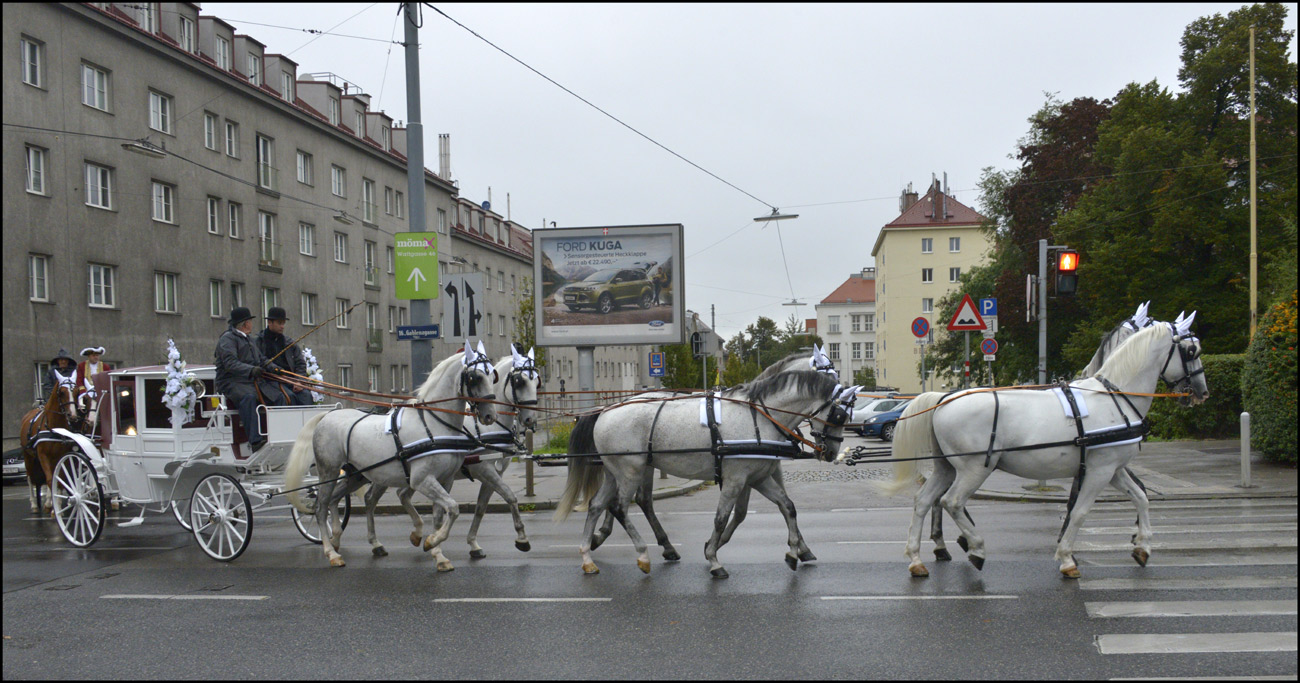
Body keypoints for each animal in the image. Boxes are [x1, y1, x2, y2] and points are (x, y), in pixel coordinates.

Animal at [19, 371, 84, 514]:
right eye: (62, 392)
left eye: (77, 392)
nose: (73, 415)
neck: (54, 427)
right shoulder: (43, 456)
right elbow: (49, 479)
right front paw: (55, 507)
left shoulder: (60, 456)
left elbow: (58, 479)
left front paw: (56, 505)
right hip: (28, 457)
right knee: (30, 478)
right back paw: (34, 504)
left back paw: (48, 502)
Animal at [285, 341, 499, 569]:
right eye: (475, 377)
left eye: (492, 375)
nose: (489, 416)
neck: (434, 423)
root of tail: (328, 414)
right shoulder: (422, 480)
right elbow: (454, 508)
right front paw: (430, 541)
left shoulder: (445, 480)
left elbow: (441, 516)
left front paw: (437, 553)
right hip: (329, 471)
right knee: (320, 506)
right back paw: (331, 552)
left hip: (355, 475)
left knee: (334, 500)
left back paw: (338, 539)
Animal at [357, 346, 541, 564]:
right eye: (520, 381)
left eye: (537, 381)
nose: (530, 419)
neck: (489, 428)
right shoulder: (483, 470)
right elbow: (510, 497)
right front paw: (522, 539)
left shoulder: (494, 473)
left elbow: (482, 507)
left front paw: (473, 544)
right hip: (385, 473)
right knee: (371, 499)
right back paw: (375, 542)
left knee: (400, 495)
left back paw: (415, 535)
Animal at [555, 368, 858, 578]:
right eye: (840, 416)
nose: (831, 452)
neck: (759, 417)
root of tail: (605, 410)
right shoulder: (735, 479)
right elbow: (721, 518)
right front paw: (713, 558)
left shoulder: (758, 477)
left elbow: (788, 507)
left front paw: (794, 552)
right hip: (631, 471)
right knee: (620, 507)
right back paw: (643, 555)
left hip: (614, 472)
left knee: (597, 505)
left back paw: (587, 557)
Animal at [888, 317, 1208, 579]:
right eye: (1191, 352)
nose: (1202, 392)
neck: (1114, 397)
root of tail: (944, 398)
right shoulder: (1099, 471)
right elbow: (1079, 512)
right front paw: (1067, 559)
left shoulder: (1112, 469)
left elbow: (1141, 497)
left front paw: (1142, 547)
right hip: (974, 468)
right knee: (951, 502)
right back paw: (976, 549)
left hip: (946, 467)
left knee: (923, 501)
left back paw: (917, 559)